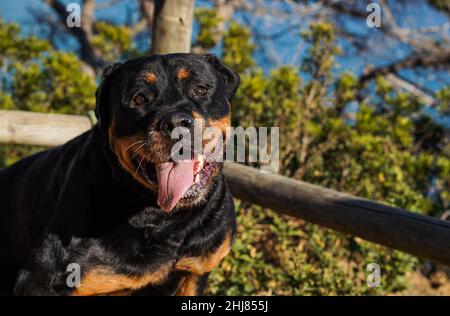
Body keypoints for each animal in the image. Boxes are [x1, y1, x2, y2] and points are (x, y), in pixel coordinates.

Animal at [0, 53, 239, 296]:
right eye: (139, 98)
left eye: (200, 89)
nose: (175, 122)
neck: (165, 220)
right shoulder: (41, 279)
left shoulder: (195, 271)